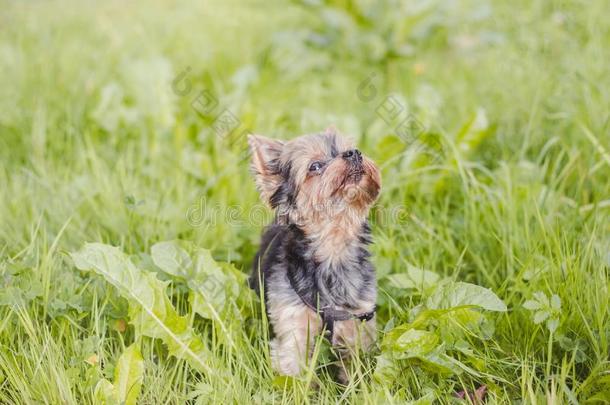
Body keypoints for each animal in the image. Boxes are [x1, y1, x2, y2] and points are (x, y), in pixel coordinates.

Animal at [245, 127, 378, 382]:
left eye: (350, 148)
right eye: (315, 166)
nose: (354, 153)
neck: (334, 248)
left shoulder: (358, 322)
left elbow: (354, 367)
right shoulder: (293, 324)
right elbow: (293, 368)